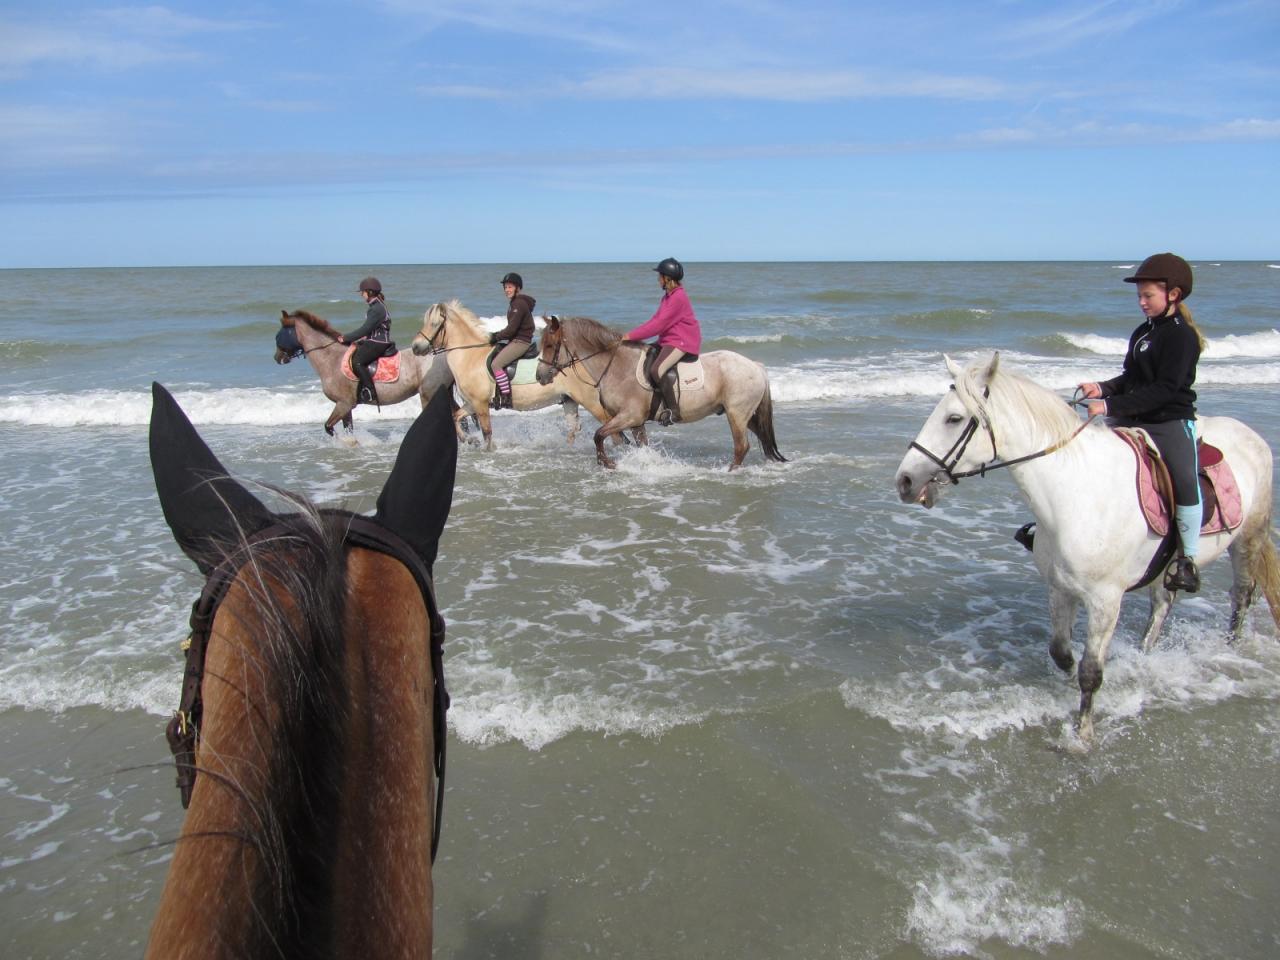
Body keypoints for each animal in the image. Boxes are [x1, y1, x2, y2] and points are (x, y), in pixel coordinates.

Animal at [277, 312, 458, 435]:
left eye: (279, 335)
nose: (277, 358)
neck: (331, 358)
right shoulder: (345, 407)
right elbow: (347, 430)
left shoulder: (344, 404)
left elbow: (329, 427)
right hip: (444, 392)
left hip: (429, 394)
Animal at [409, 300, 634, 450]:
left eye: (434, 324)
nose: (415, 347)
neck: (470, 357)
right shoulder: (472, 403)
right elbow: (456, 417)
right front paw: (468, 440)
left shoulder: (480, 404)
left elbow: (487, 432)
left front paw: (487, 450)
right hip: (569, 400)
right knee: (575, 428)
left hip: (590, 401)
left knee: (611, 428)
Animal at [532, 316, 788, 471]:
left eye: (550, 345)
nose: (540, 377)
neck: (617, 366)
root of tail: (756, 366)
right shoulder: (636, 423)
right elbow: (640, 446)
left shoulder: (629, 417)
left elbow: (598, 435)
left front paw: (607, 463)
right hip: (746, 415)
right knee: (762, 438)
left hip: (736, 414)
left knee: (741, 446)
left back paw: (730, 472)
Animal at [890, 358, 1280, 742]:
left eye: (953, 418)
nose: (904, 480)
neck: (1077, 492)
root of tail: (1250, 434)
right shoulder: (1060, 589)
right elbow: (1061, 652)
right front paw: (1066, 684)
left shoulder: (1105, 600)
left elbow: (1091, 670)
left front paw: (1082, 734)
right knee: (1162, 605)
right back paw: (1145, 656)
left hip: (1247, 539)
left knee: (1241, 595)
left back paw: (1229, 649)